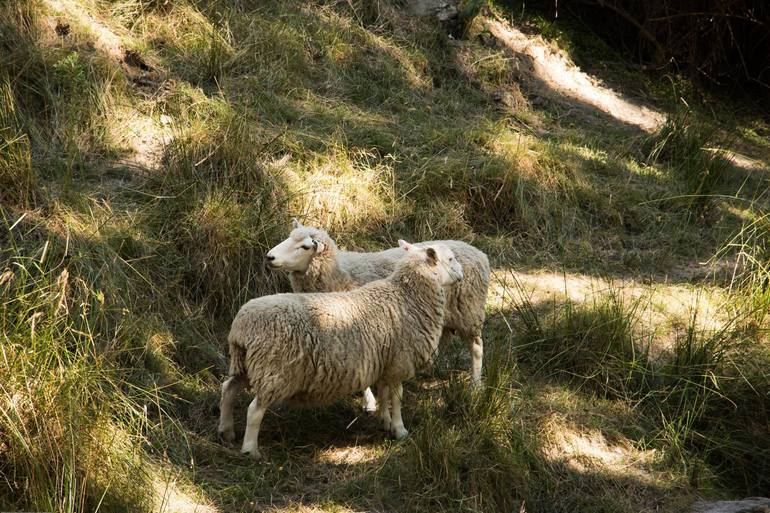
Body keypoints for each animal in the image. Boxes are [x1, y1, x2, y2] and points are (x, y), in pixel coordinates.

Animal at [219, 241, 464, 460]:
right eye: (450, 259)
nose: (462, 275)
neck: (406, 295)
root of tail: (241, 325)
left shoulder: (386, 361)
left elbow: (385, 394)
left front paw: (384, 421)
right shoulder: (399, 361)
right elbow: (397, 398)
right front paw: (400, 430)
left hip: (246, 364)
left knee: (228, 389)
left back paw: (226, 431)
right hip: (274, 372)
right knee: (254, 410)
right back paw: (250, 450)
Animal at [268, 220, 488, 408]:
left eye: (305, 247)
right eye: (288, 237)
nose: (269, 257)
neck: (339, 273)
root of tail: (478, 252)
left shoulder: (361, 329)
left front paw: (369, 402)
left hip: (469, 312)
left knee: (476, 348)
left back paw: (475, 386)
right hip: (445, 311)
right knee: (444, 338)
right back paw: (431, 368)